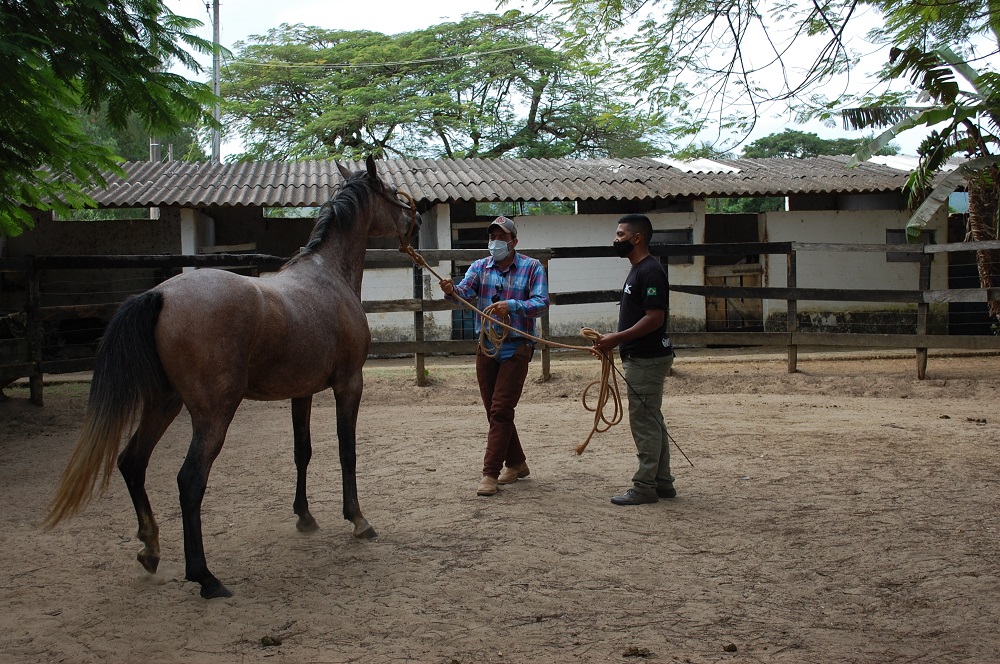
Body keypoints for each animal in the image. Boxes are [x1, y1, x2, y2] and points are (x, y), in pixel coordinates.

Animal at [42, 157, 418, 600]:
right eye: (390, 192)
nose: (413, 220)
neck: (328, 277)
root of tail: (161, 295)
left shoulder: (302, 393)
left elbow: (302, 451)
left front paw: (305, 517)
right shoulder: (349, 385)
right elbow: (347, 452)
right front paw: (358, 520)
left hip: (164, 403)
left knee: (133, 462)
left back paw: (151, 549)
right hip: (213, 413)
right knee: (189, 480)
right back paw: (205, 577)